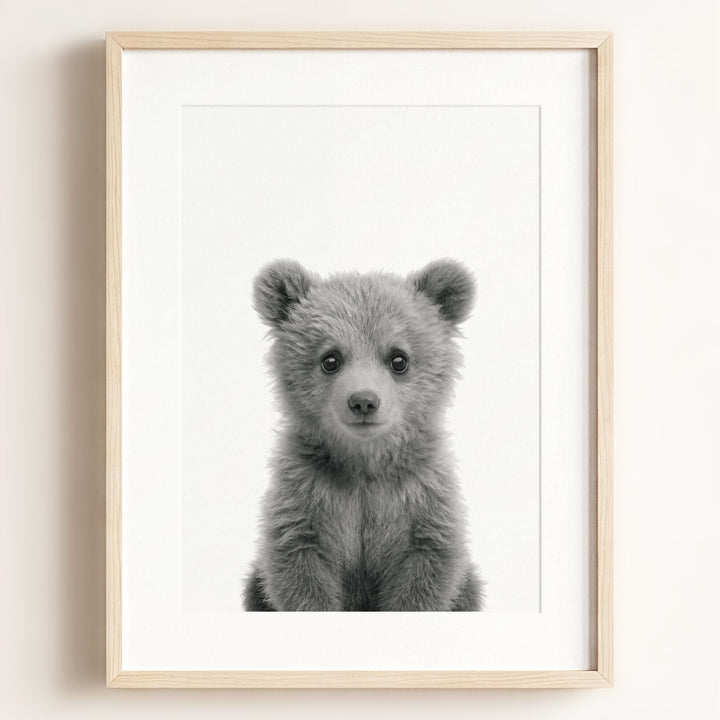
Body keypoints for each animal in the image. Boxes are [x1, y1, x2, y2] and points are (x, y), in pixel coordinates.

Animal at [243, 258, 484, 611]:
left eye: (398, 358)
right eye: (330, 359)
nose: (364, 401)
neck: (364, 464)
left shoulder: (421, 498)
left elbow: (425, 572)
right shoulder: (306, 495)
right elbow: (300, 570)